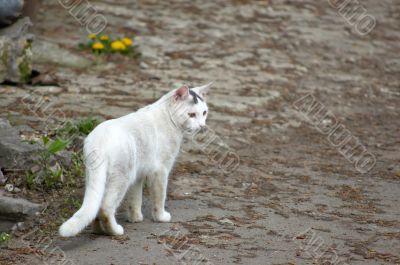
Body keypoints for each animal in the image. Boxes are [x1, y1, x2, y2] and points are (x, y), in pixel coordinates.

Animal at [59, 83, 211, 236]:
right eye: (191, 115)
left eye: (204, 113)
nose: (202, 126)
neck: (168, 117)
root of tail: (99, 140)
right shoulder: (161, 171)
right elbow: (160, 197)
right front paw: (160, 217)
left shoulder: (138, 175)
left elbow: (135, 199)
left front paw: (135, 218)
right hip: (121, 178)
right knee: (105, 208)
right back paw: (115, 230)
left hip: (101, 177)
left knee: (96, 206)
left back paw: (98, 231)